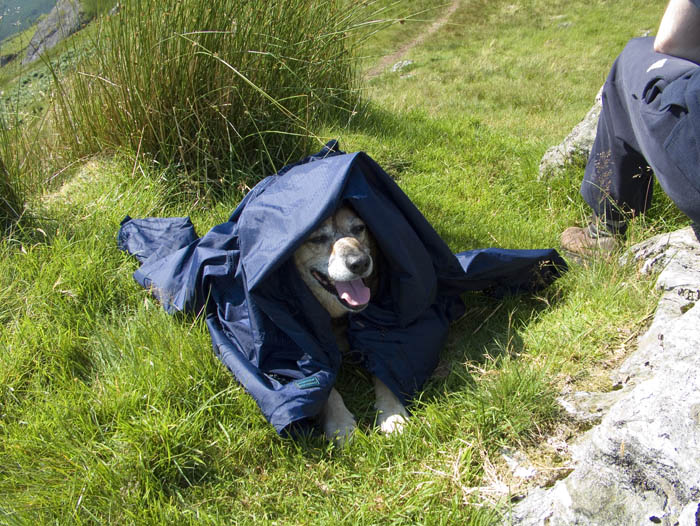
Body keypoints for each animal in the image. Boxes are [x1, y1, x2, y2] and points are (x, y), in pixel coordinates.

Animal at [292, 206, 410, 446]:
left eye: (359, 228)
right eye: (317, 238)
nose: (360, 262)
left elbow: (386, 372)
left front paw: (393, 414)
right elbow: (327, 392)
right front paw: (340, 425)